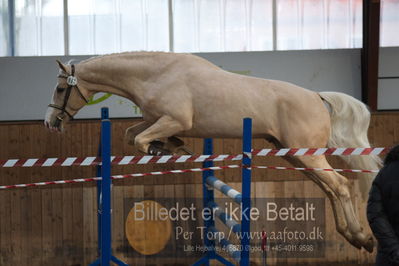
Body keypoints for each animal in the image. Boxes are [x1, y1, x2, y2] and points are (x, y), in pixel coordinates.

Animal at [43, 51, 382, 252]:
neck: (155, 75)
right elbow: (131, 134)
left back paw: (362, 237)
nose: (50, 123)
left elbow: (140, 141)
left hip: (306, 154)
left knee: (341, 185)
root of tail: (316, 96)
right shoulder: (156, 120)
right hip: (294, 155)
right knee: (331, 189)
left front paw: (161, 149)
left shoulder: (173, 119)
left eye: (60, 89)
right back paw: (353, 237)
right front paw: (172, 146)